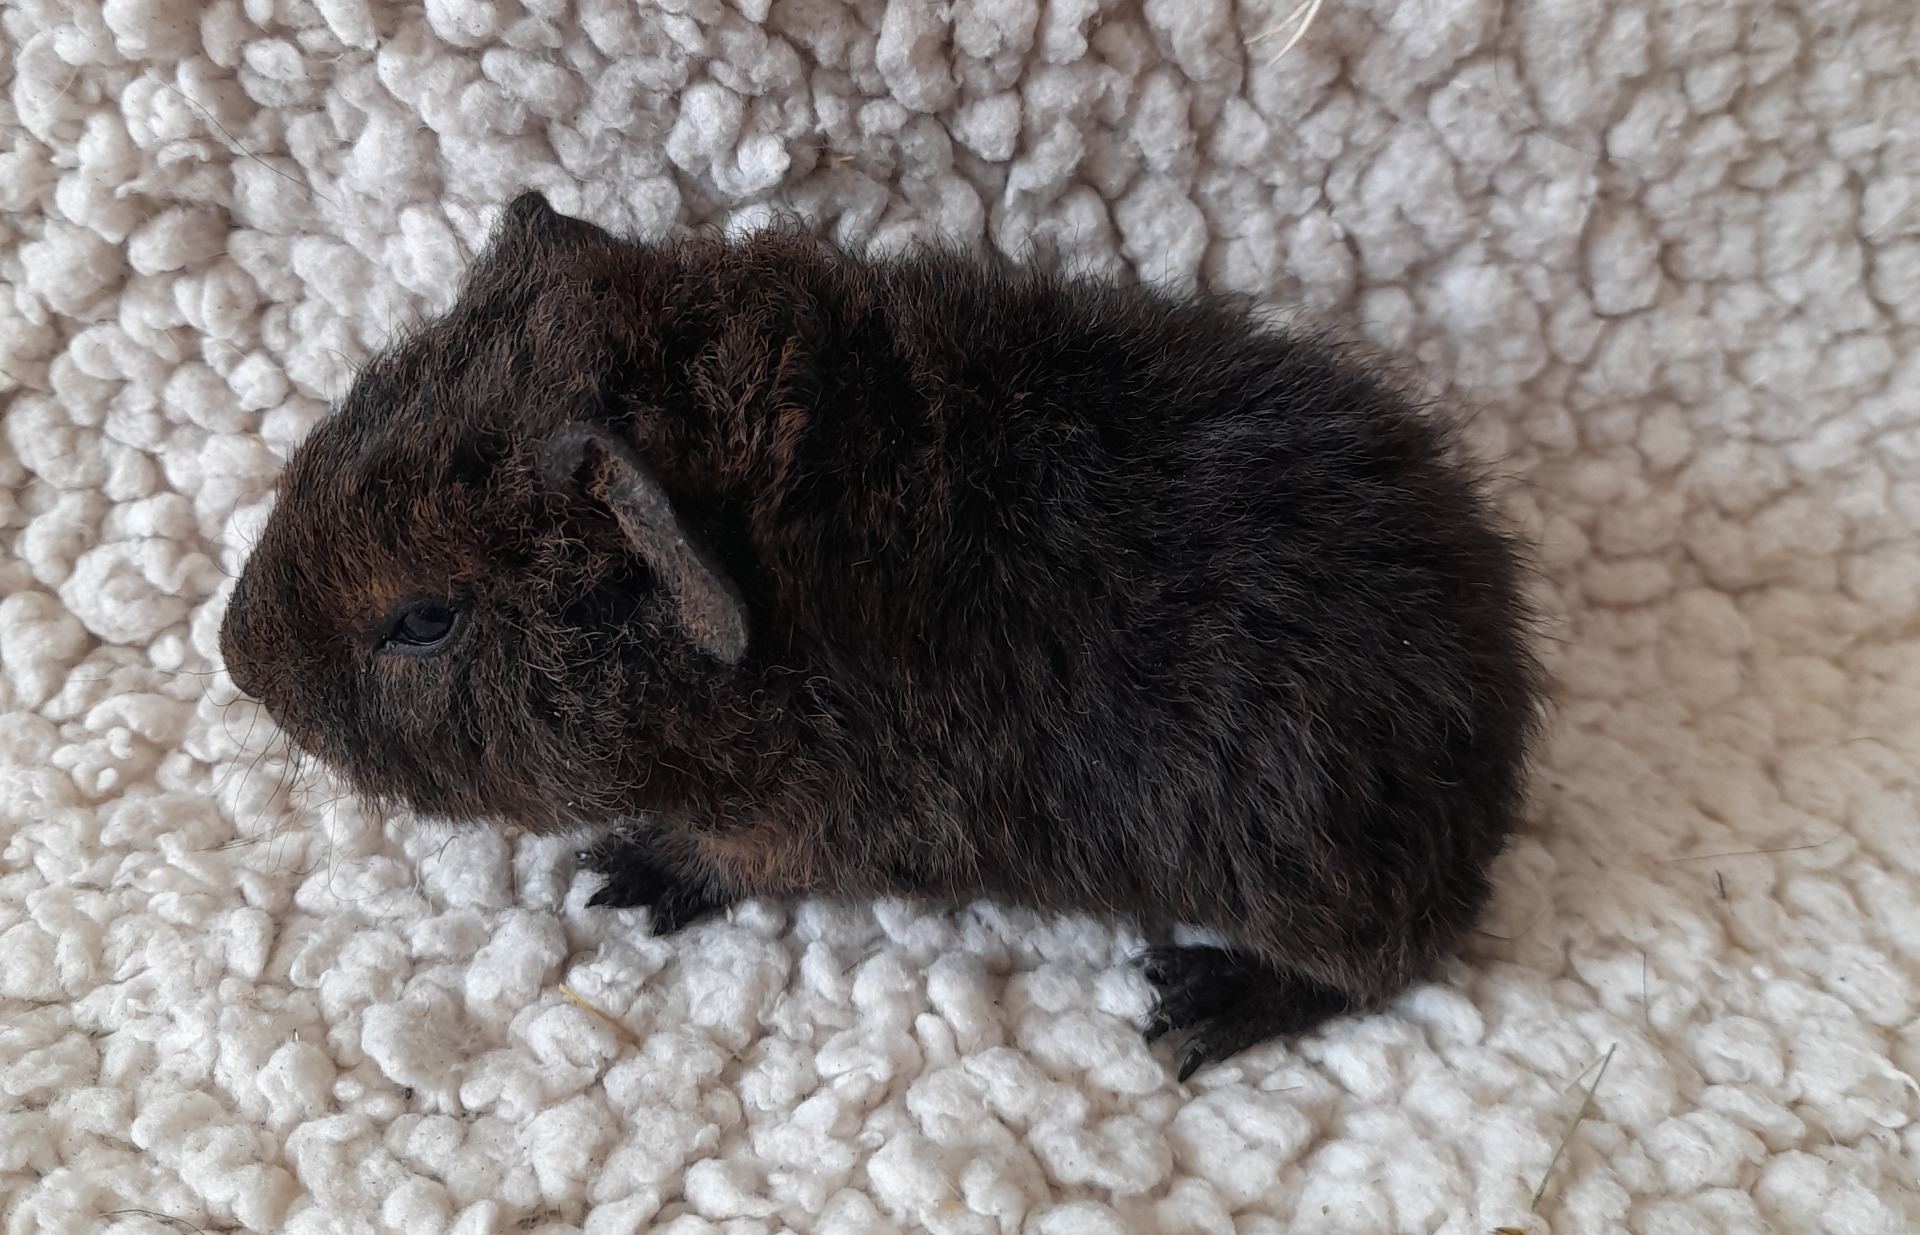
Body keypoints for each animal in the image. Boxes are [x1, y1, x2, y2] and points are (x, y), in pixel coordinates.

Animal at [220, 191, 1542, 1080]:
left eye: (424, 619)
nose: (235, 661)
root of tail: (1495, 720)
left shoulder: (817, 818)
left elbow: (730, 858)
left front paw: (619, 878)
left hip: (1319, 884)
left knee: (1383, 964)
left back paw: (1193, 1004)